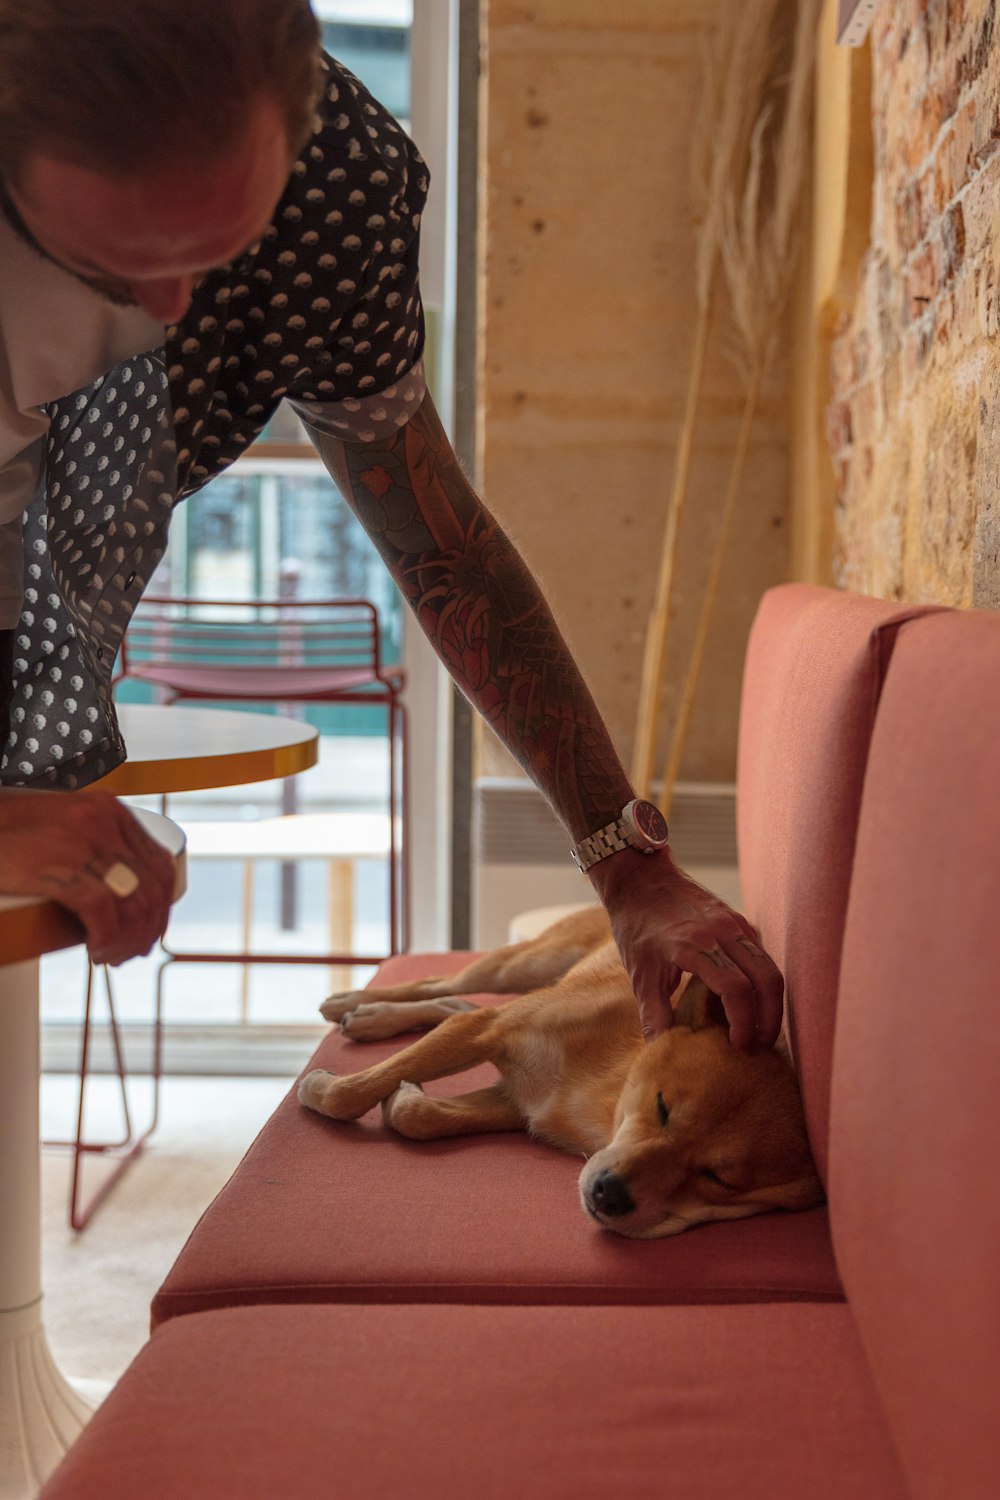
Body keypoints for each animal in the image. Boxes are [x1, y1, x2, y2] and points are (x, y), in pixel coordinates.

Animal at [295, 900, 821, 1242]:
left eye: (719, 1179)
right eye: (662, 1108)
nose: (610, 1194)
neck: (606, 1094)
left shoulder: (519, 1103)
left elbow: (418, 1117)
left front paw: (405, 1098)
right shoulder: (489, 1031)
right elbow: (352, 1093)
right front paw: (321, 1089)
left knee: (453, 1002)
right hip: (520, 967)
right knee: (442, 983)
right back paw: (360, 1004)